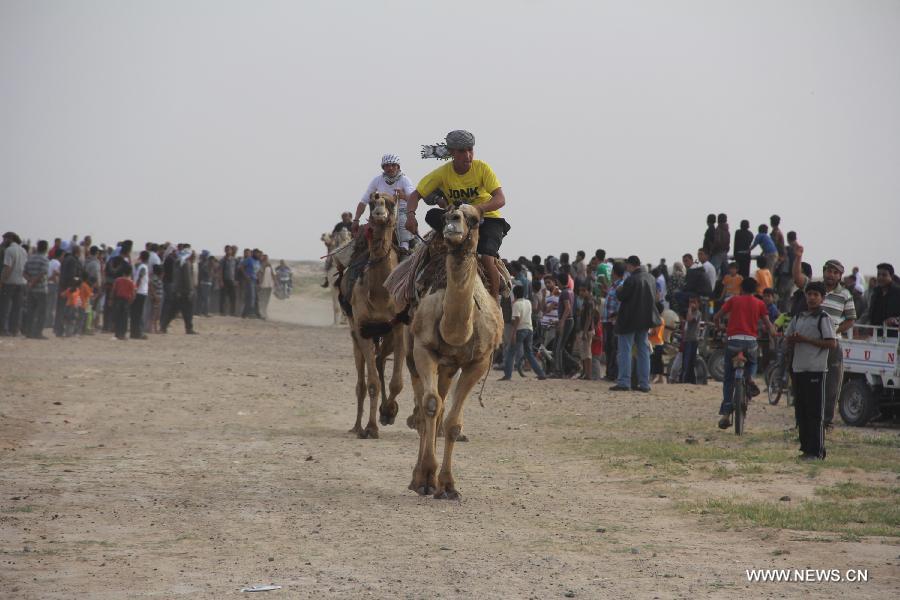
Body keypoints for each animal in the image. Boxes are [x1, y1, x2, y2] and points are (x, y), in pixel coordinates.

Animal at [340, 193, 406, 440]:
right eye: (372, 202)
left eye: (391, 203)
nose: (379, 213)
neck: (380, 293)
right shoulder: (364, 328)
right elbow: (372, 383)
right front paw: (371, 427)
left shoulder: (398, 326)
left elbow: (397, 382)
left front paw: (389, 411)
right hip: (355, 334)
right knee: (362, 380)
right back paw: (357, 426)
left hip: (386, 335)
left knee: (379, 361)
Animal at [404, 204, 502, 500]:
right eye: (446, 215)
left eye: (475, 219)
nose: (452, 224)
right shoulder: (424, 350)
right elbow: (430, 406)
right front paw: (426, 479)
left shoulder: (478, 362)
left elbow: (453, 423)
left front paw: (447, 485)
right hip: (412, 354)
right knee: (425, 409)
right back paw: (417, 478)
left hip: (449, 367)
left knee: (443, 405)